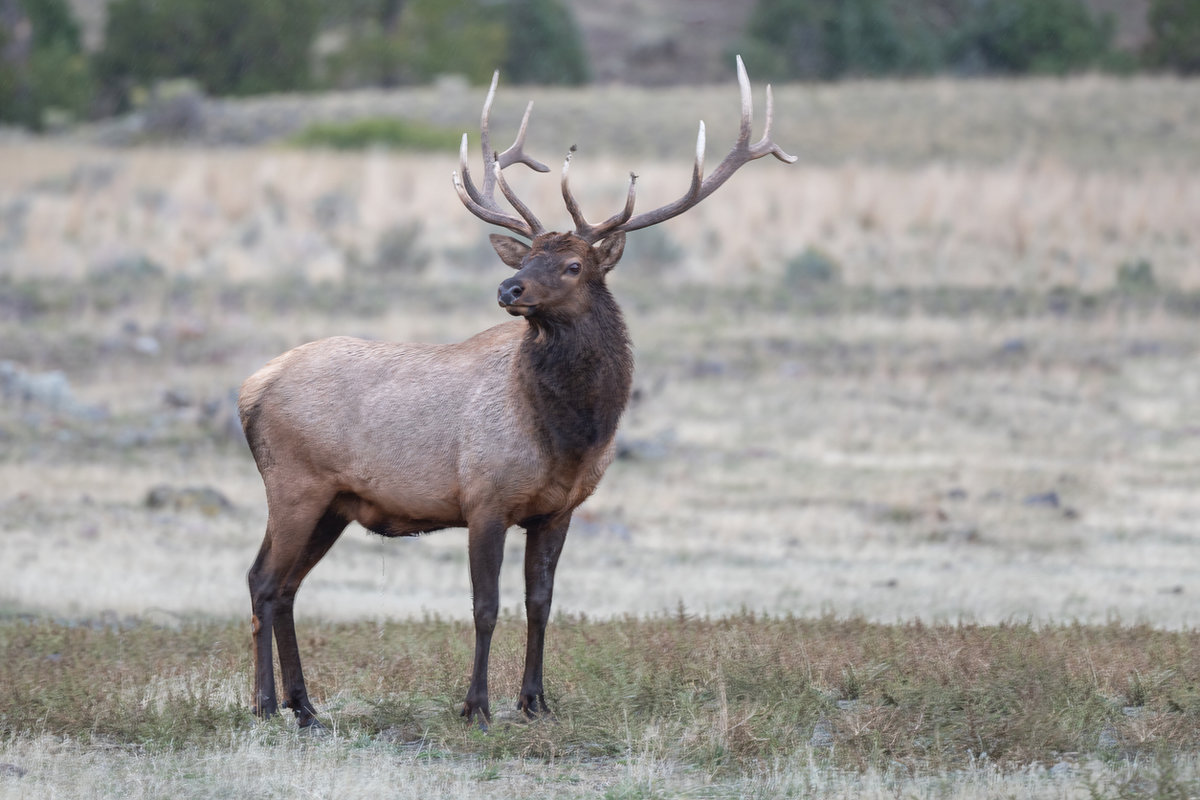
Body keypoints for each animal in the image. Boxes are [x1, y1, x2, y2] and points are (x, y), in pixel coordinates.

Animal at [237, 57, 792, 734]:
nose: (509, 289)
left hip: (334, 503)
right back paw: (267, 704)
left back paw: (305, 706)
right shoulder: (485, 497)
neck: (570, 434)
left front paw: (535, 701)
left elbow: (540, 603)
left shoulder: (558, 509)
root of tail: (249, 390)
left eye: (575, 265)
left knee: (286, 585)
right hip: (295, 484)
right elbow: (485, 605)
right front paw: (476, 706)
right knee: (264, 580)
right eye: (526, 256)